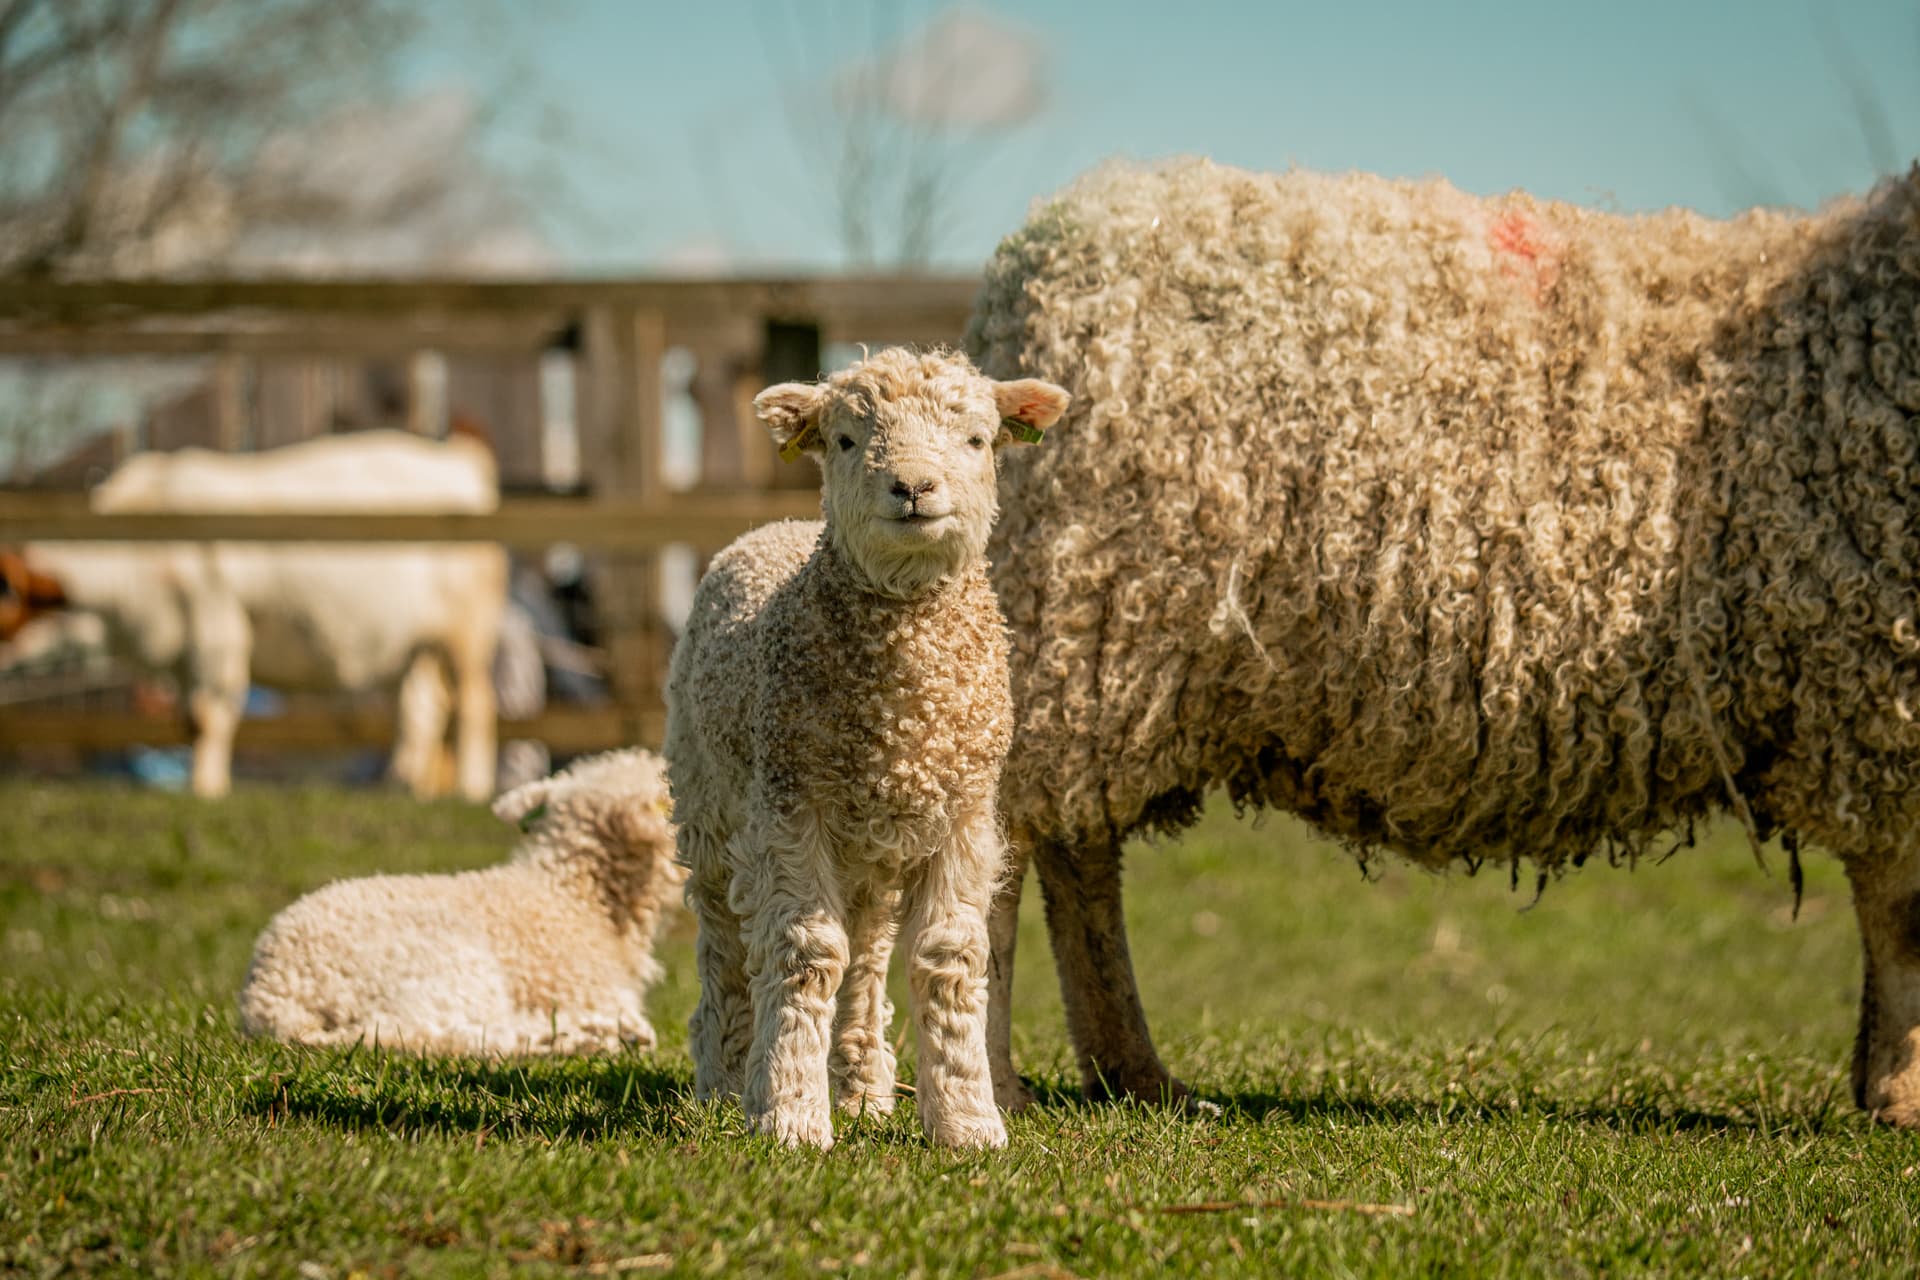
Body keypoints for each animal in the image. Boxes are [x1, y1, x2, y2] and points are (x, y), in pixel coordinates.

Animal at [4, 430, 507, 800]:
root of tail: (458, 458)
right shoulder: (182, 652)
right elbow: (189, 718)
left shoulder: (217, 621)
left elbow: (208, 714)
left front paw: (205, 789)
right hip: (407, 644)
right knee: (422, 708)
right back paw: (402, 785)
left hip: (465, 630)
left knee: (474, 704)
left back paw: (470, 788)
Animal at [238, 747, 684, 1055]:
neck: (573, 896)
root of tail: (274, 999)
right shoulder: (589, 987)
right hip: (446, 970)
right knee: (448, 1035)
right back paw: (590, 1037)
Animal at [664, 347, 1069, 1149]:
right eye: (847, 440)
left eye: (978, 439)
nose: (912, 486)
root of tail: (772, 527)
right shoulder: (791, 804)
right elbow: (805, 953)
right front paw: (789, 1114)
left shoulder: (965, 815)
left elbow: (949, 956)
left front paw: (967, 1120)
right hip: (709, 808)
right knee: (725, 943)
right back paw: (726, 1078)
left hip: (875, 848)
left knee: (868, 950)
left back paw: (859, 1088)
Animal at [963, 157, 1920, 1127]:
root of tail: (1044, 256)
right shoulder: (1876, 695)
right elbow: (1904, 913)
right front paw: (1903, 1095)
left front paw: (1882, 1081)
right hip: (1080, 621)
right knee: (1004, 855)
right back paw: (1000, 1085)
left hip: (1096, 657)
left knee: (1079, 857)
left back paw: (1134, 1073)